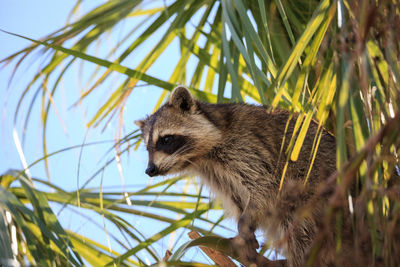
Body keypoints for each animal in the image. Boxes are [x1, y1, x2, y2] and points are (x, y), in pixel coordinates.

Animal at [134, 87, 338, 266]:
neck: (203, 156)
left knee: (300, 223)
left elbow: (264, 188)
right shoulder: (217, 174)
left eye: (166, 139)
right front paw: (244, 228)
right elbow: (238, 199)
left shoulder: (247, 147)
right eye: (148, 148)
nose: (150, 170)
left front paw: (245, 223)